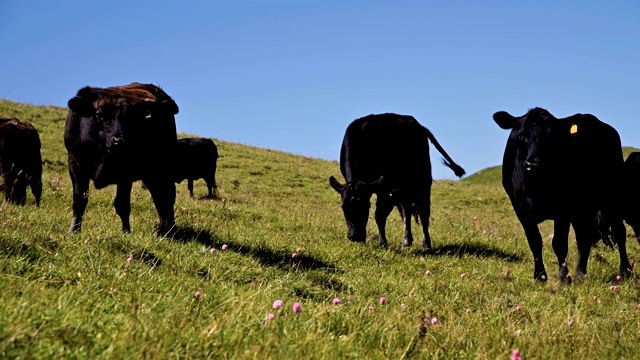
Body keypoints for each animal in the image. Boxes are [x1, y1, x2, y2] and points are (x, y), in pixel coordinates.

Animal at [64, 82, 179, 233]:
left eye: (129, 117)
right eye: (100, 116)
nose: (119, 140)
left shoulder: (125, 173)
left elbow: (122, 205)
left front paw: (126, 232)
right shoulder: (76, 165)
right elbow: (79, 201)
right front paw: (74, 230)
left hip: (166, 165)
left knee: (168, 194)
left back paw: (171, 227)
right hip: (150, 172)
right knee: (158, 196)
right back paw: (164, 226)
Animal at [330, 114, 464, 249]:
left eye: (366, 206)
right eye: (343, 207)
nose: (355, 236)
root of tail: (418, 125)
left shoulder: (385, 188)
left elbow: (379, 215)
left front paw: (382, 243)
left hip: (423, 181)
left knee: (423, 211)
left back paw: (426, 243)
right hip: (402, 189)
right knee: (406, 211)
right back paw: (406, 240)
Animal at [492, 107, 632, 282]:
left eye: (550, 137)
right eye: (521, 136)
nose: (533, 164)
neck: (535, 187)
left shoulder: (563, 208)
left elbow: (559, 243)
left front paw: (564, 278)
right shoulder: (521, 209)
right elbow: (534, 241)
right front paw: (540, 276)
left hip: (613, 196)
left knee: (619, 232)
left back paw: (625, 270)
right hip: (582, 209)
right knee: (584, 238)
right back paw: (580, 274)